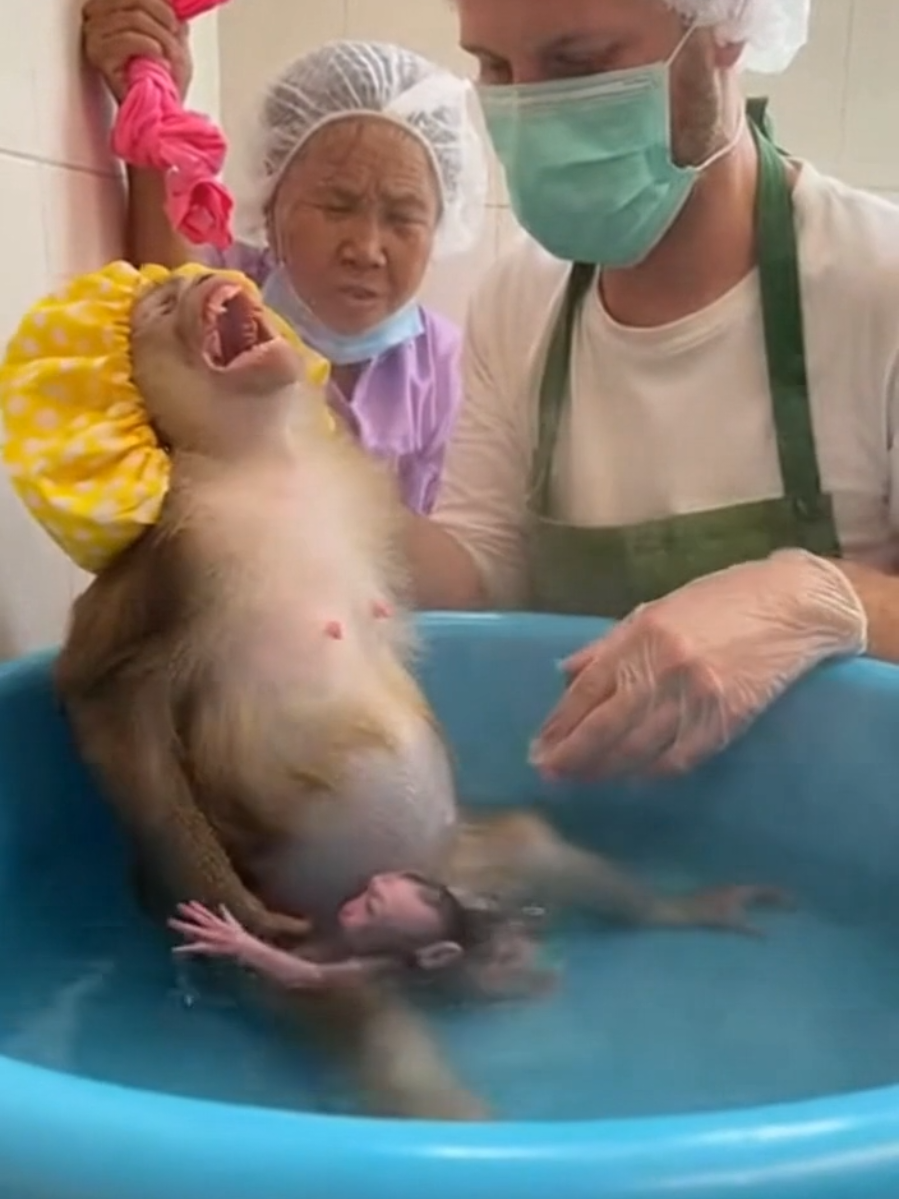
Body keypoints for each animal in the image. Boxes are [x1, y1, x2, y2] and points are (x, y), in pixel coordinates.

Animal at [54, 270, 790, 1121]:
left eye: (181, 285)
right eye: (165, 306)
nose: (202, 277)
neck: (261, 461)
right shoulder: (174, 547)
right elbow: (105, 696)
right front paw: (220, 893)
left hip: (452, 867)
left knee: (529, 845)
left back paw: (677, 910)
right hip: (338, 953)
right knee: (381, 1035)